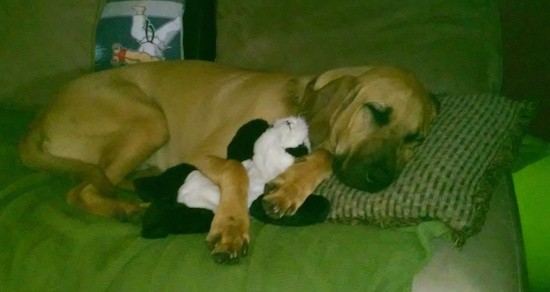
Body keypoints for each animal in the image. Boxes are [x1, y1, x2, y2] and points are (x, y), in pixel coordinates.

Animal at [18, 60, 440, 264]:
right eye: (376, 111)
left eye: (415, 139)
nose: (379, 178)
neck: (301, 98)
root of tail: (41, 116)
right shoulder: (201, 153)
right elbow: (235, 167)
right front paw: (232, 226)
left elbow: (321, 155)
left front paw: (291, 188)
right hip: (148, 121)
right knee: (80, 191)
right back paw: (126, 208)